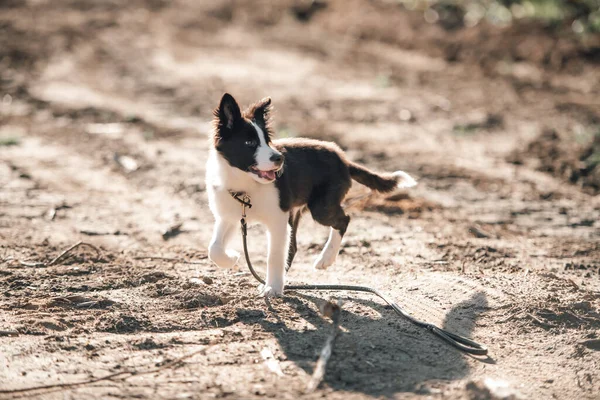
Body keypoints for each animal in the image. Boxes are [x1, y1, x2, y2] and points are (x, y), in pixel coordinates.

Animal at [206, 92, 418, 296]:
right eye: (249, 142)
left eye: (267, 141)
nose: (279, 158)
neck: (245, 186)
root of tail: (344, 160)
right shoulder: (230, 217)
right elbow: (213, 248)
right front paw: (232, 258)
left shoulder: (277, 221)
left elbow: (274, 255)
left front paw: (272, 288)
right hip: (297, 211)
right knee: (293, 247)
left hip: (321, 208)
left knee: (344, 220)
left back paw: (325, 259)